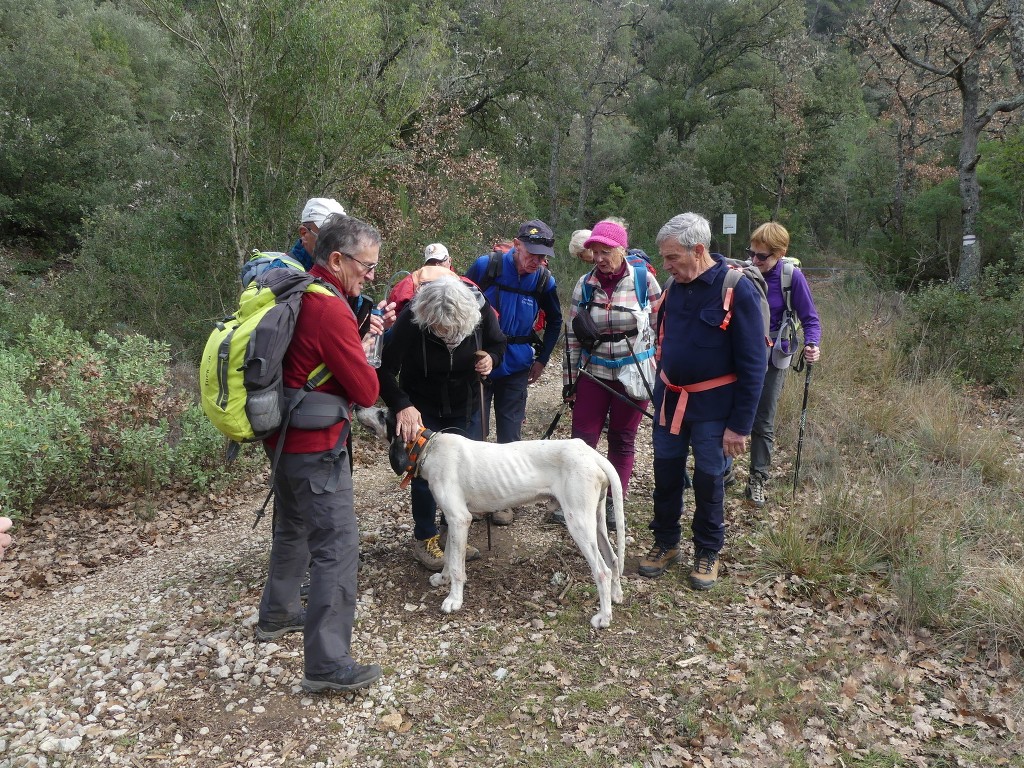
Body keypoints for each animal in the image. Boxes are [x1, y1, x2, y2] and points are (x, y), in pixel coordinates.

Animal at [352, 405, 622, 626]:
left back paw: (603, 617)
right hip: (595, 521)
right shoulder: (452, 520)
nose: (356, 407)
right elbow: (449, 555)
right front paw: (443, 578)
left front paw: (454, 600)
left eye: (382, 413)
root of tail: (591, 453)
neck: (428, 447)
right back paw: (617, 596)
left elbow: (457, 567)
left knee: (602, 570)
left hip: (578, 523)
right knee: (613, 559)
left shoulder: (460, 519)